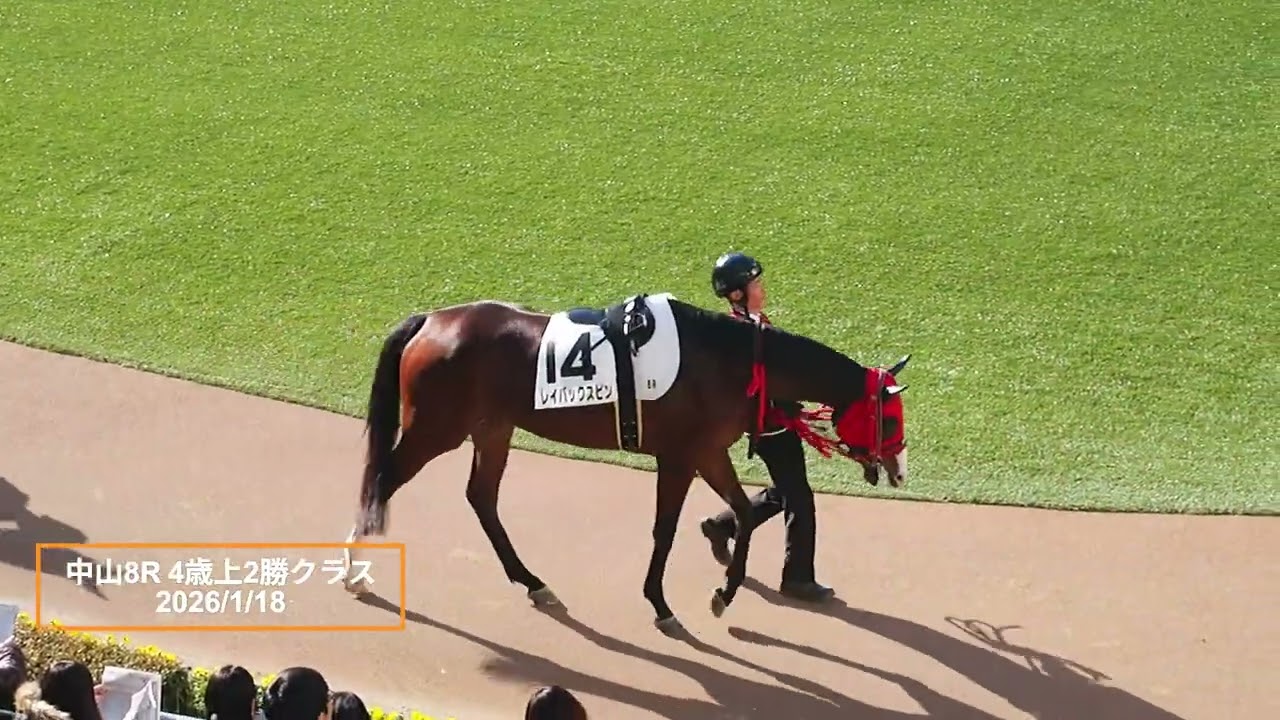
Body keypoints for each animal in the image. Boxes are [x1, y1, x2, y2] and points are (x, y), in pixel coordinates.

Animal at [341, 292, 910, 634]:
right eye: (889, 419)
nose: (900, 471)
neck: (727, 359)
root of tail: (431, 320)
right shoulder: (679, 457)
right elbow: (664, 530)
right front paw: (661, 605)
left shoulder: (707, 452)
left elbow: (744, 513)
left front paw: (724, 592)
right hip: (436, 430)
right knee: (381, 483)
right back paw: (354, 574)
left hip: (492, 429)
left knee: (481, 498)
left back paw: (532, 582)